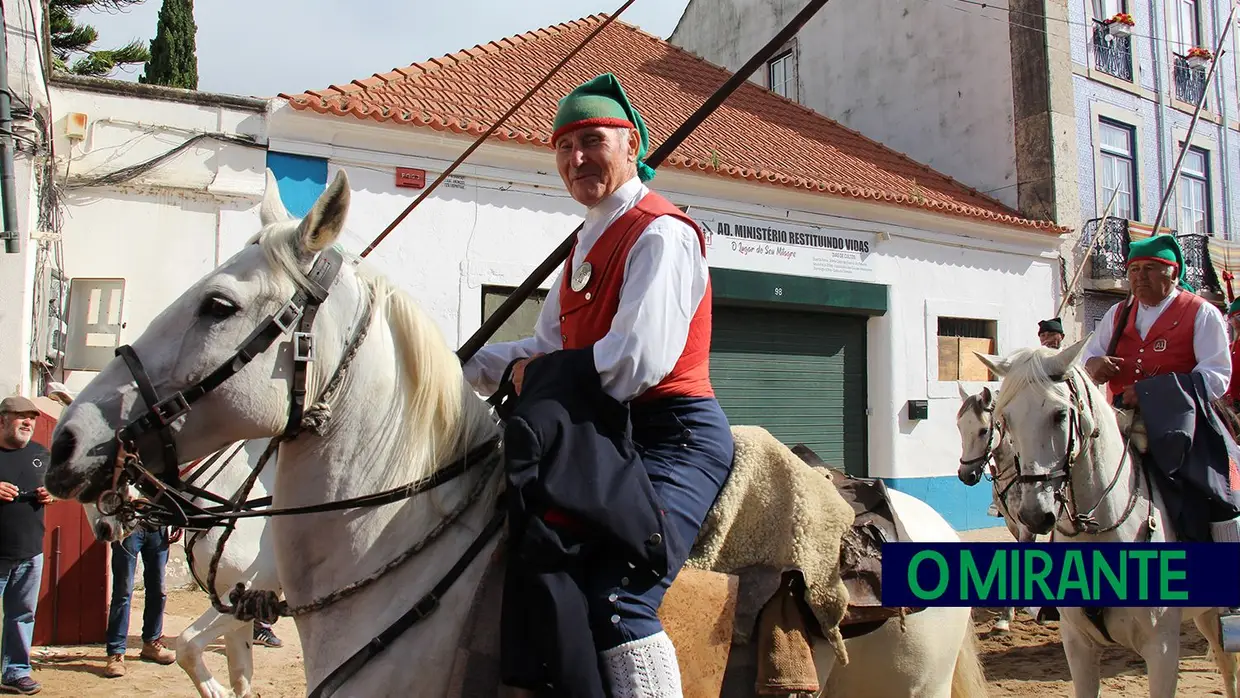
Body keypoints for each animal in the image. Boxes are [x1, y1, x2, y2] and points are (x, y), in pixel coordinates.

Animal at [84, 438, 281, 694]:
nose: (102, 528)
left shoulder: (256, 584)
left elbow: (187, 645)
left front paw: (217, 692)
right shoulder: (231, 592)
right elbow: (240, 678)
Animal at [952, 384, 1031, 634]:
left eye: (984, 430)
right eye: (960, 427)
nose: (966, 475)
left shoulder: (1027, 526)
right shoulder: (1012, 524)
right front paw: (1007, 616)